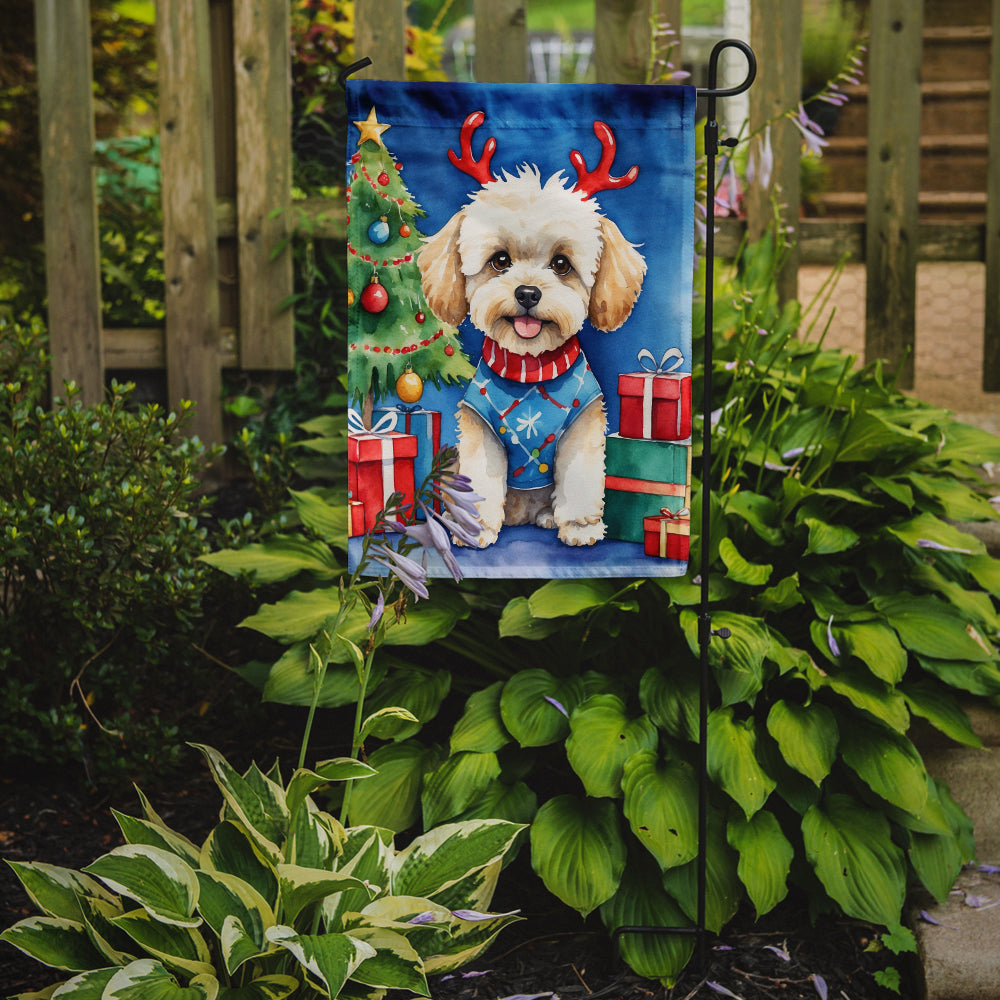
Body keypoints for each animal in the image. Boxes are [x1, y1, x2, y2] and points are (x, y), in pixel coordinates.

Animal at [418, 124, 644, 552]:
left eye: (561, 264)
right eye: (500, 260)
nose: (527, 293)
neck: (530, 366)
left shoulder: (582, 425)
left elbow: (580, 477)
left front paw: (581, 527)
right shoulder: (480, 429)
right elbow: (482, 480)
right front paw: (476, 530)